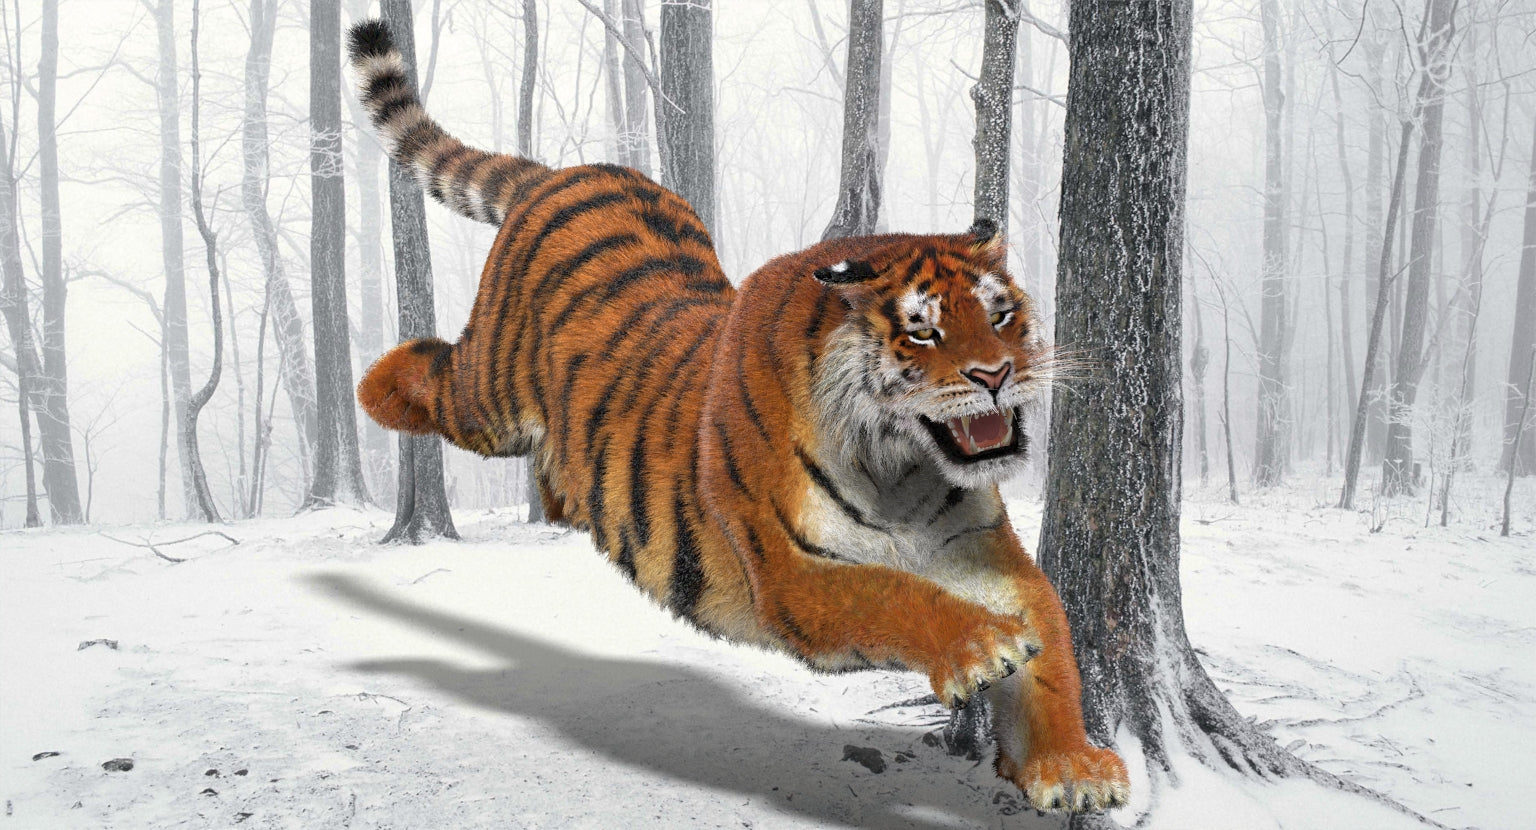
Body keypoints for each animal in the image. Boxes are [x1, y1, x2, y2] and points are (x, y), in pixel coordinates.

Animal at [348, 19, 1129, 813]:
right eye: (923, 331)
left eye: (1000, 316)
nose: (997, 375)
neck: (902, 467)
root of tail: (567, 172)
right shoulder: (791, 573)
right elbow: (892, 594)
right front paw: (982, 648)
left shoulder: (982, 549)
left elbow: (1052, 641)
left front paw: (1071, 765)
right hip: (491, 394)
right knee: (435, 373)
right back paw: (373, 386)